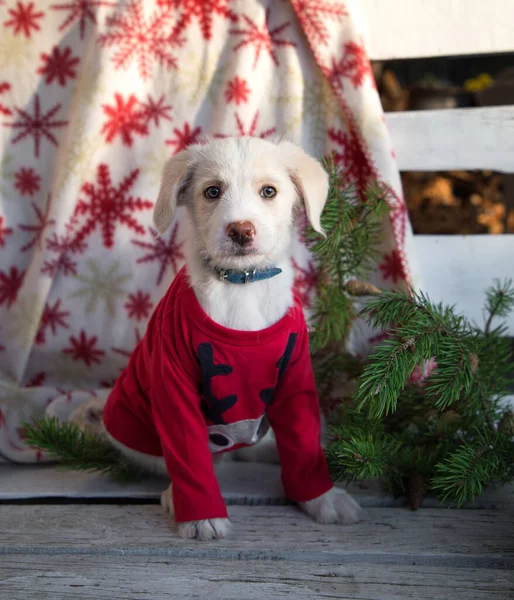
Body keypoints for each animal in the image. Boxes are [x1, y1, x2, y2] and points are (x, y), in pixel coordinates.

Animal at [70, 136, 358, 540]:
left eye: (269, 191)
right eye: (212, 192)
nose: (241, 231)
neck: (242, 285)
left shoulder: (295, 381)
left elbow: (302, 444)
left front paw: (322, 497)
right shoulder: (173, 386)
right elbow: (188, 456)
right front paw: (201, 515)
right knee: (183, 461)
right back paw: (175, 493)